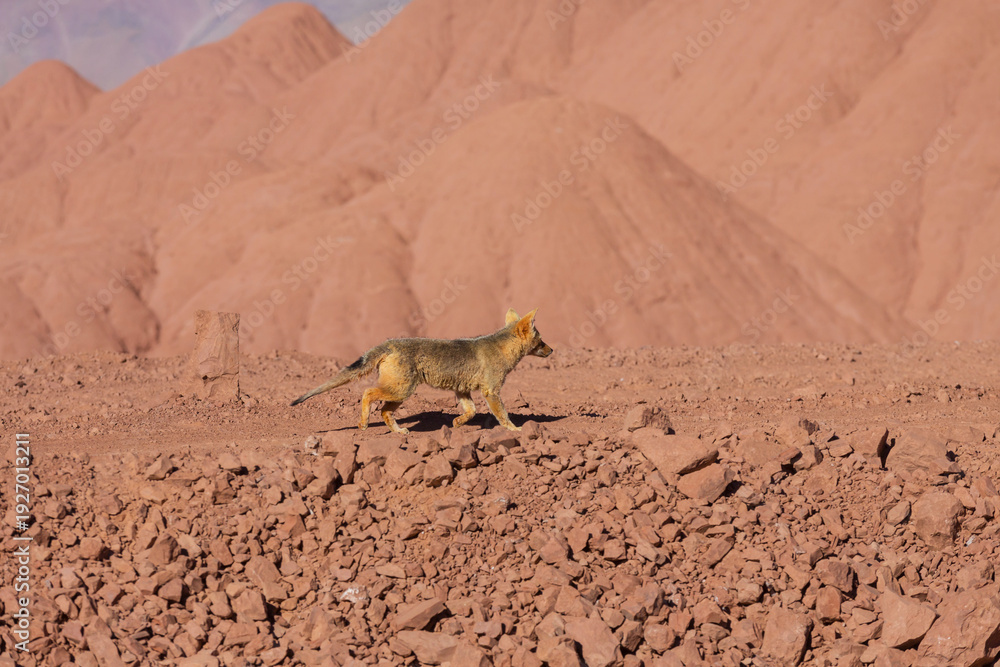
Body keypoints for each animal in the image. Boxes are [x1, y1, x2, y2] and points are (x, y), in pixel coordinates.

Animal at [291, 308, 552, 434]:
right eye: (541, 340)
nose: (551, 350)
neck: (501, 348)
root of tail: (389, 343)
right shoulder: (491, 391)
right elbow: (502, 415)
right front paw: (515, 429)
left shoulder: (462, 390)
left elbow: (472, 411)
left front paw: (457, 423)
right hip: (401, 390)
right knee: (367, 394)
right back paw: (363, 423)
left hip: (400, 392)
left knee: (384, 411)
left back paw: (398, 432)